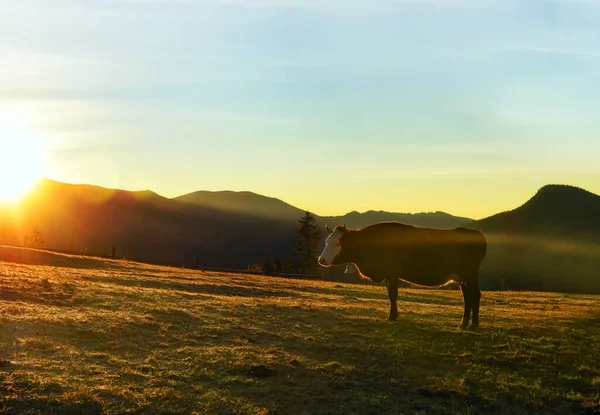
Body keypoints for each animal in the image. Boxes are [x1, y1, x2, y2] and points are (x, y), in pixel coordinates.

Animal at [318, 223, 488, 330]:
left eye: (338, 243)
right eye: (326, 241)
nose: (321, 260)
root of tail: (478, 235)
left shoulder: (392, 273)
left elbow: (393, 295)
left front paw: (392, 317)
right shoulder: (388, 275)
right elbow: (390, 295)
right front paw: (394, 315)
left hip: (470, 275)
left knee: (475, 295)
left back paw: (472, 324)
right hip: (463, 278)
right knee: (468, 297)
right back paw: (465, 324)